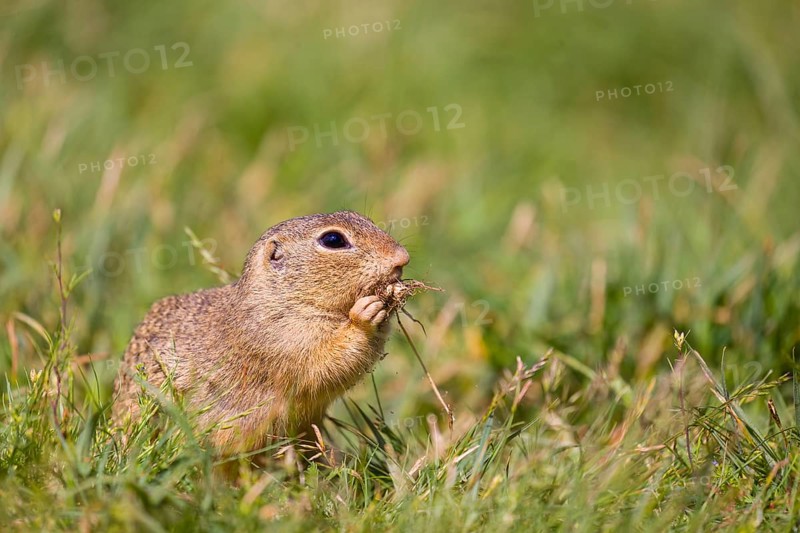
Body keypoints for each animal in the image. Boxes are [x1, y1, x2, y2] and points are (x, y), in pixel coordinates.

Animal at [112, 211, 410, 455]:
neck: (280, 298)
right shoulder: (281, 339)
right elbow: (323, 363)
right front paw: (365, 314)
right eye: (333, 239)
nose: (403, 257)